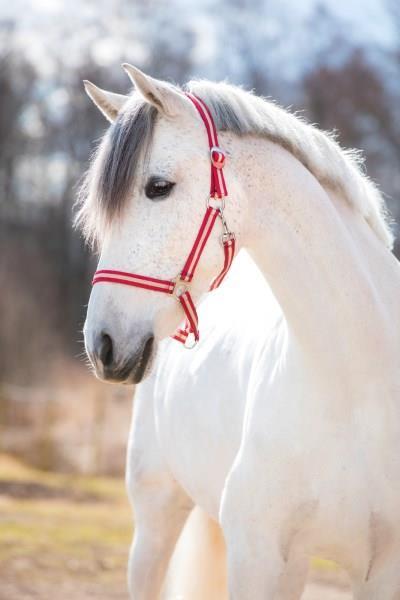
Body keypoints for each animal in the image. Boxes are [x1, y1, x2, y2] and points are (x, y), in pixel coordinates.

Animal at [78, 63, 400, 596]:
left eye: (158, 186)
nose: (101, 344)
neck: (357, 391)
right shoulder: (259, 560)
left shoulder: (382, 571)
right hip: (155, 520)